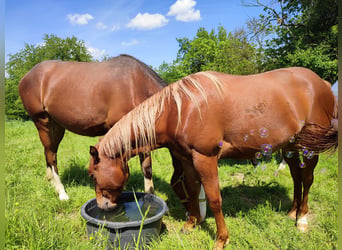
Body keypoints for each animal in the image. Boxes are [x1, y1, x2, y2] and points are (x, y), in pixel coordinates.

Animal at [19, 54, 168, 199]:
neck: (135, 86)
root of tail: (26, 77)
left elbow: (147, 168)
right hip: (43, 123)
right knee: (51, 156)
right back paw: (62, 193)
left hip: (57, 126)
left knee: (49, 151)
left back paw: (52, 183)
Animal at [87, 67, 336, 250]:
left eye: (92, 175)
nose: (103, 206)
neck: (179, 110)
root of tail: (322, 84)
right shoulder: (187, 159)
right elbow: (192, 189)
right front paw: (192, 223)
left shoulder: (205, 159)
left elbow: (215, 199)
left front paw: (221, 239)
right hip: (291, 147)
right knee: (296, 177)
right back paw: (293, 211)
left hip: (309, 149)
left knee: (307, 179)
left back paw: (302, 219)